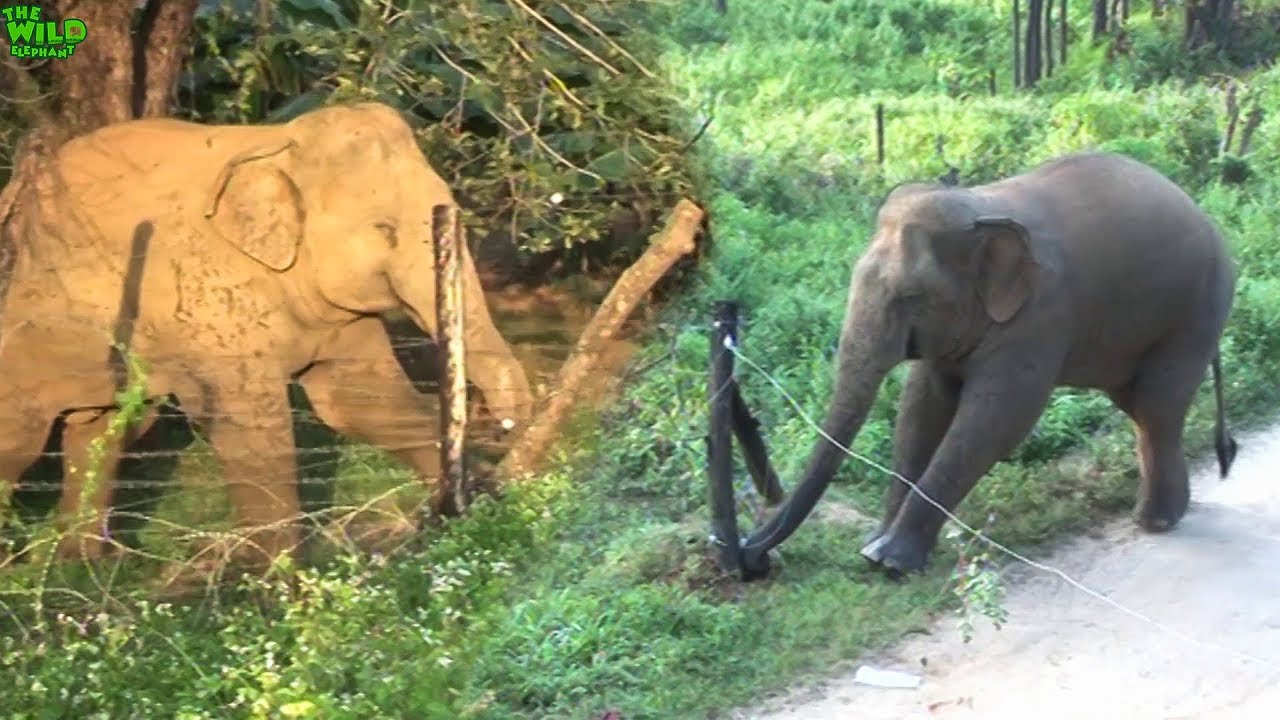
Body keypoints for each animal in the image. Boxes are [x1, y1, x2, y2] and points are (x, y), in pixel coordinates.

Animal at [0, 101, 535, 567]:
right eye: (384, 228)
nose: (503, 426)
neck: (276, 142)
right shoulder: (207, 292)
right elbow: (253, 428)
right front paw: (274, 582)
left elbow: (361, 400)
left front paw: (471, 510)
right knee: (21, 439)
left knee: (102, 429)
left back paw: (84, 567)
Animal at [738, 151, 1239, 578]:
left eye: (910, 297)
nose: (751, 556)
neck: (981, 208)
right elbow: (920, 408)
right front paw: (873, 546)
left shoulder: (1040, 314)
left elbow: (996, 419)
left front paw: (890, 561)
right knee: (1137, 404)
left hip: (1196, 312)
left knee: (1157, 406)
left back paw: (1154, 522)